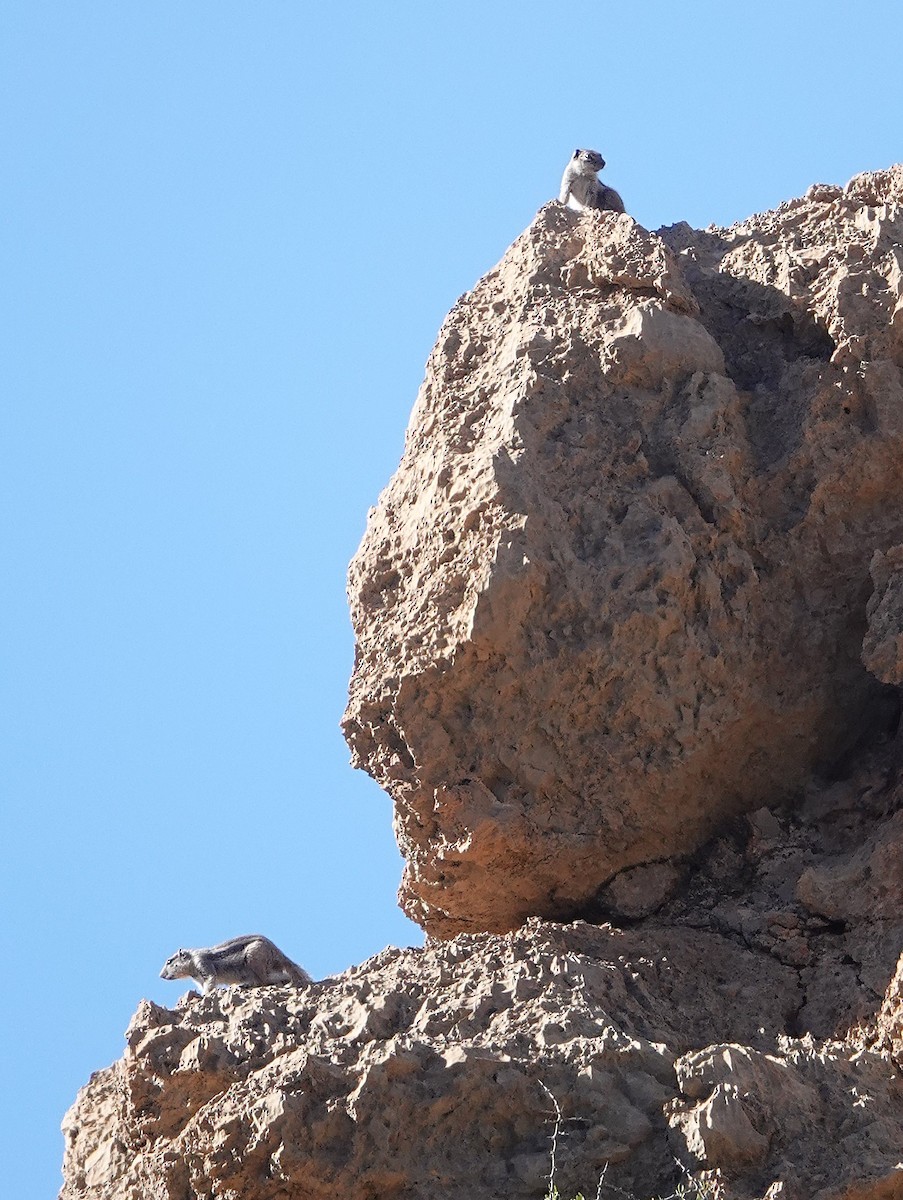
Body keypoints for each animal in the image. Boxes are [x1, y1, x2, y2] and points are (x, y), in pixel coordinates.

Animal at [160, 934, 312, 994]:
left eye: (169, 961)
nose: (160, 976)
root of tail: (277, 952)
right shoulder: (199, 979)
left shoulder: (202, 962)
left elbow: (211, 980)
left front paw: (204, 995)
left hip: (253, 957)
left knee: (262, 981)